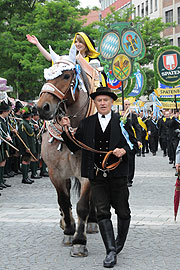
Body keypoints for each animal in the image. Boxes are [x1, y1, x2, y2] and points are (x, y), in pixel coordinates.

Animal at [36, 47, 99, 258]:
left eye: (66, 75)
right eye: (46, 75)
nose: (41, 107)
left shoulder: (88, 173)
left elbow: (82, 205)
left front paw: (79, 241)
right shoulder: (55, 173)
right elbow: (63, 200)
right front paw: (70, 232)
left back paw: (92, 222)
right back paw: (65, 221)